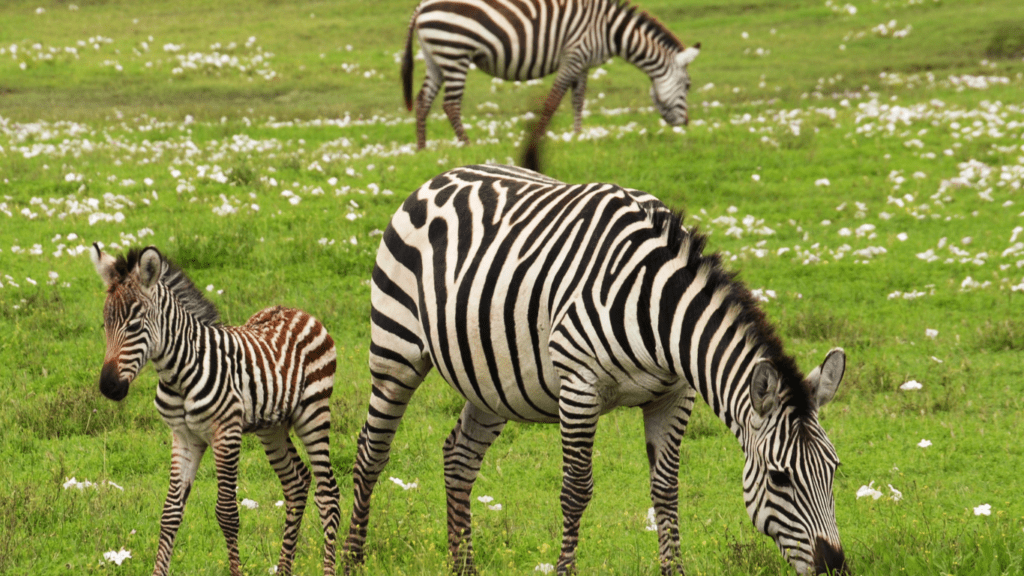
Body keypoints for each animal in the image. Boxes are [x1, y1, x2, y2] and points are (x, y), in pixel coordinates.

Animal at [92, 242, 339, 573]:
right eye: (105, 324)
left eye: (133, 326)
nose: (109, 387)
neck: (179, 373)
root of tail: (297, 310)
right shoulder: (183, 437)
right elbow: (170, 512)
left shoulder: (226, 432)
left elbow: (227, 513)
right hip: (272, 427)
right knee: (296, 482)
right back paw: (284, 568)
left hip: (313, 412)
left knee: (328, 495)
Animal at [342, 163, 847, 569]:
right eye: (780, 478)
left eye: (834, 470)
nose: (833, 565)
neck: (658, 309)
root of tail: (439, 177)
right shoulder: (580, 386)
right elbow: (576, 491)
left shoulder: (673, 395)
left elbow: (666, 491)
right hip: (395, 348)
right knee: (371, 451)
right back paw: (350, 559)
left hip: (490, 379)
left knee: (459, 457)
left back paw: (462, 565)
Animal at [403, 0, 700, 150]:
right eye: (687, 86)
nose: (685, 124)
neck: (609, 30)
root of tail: (422, 6)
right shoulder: (574, 55)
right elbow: (554, 100)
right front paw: (540, 137)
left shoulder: (583, 64)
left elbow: (578, 99)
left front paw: (578, 136)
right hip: (455, 53)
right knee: (450, 104)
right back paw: (468, 144)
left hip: (435, 58)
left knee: (423, 100)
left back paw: (422, 147)